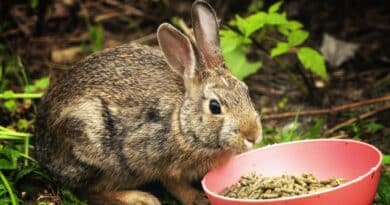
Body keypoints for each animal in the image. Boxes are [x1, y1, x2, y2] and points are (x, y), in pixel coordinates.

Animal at [34, 0, 262, 204]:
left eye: (246, 91)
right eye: (215, 107)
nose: (253, 136)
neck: (182, 123)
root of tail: (42, 148)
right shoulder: (158, 161)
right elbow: (174, 185)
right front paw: (198, 198)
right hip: (93, 146)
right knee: (86, 191)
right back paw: (140, 198)